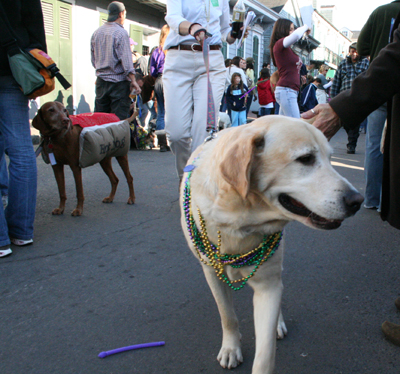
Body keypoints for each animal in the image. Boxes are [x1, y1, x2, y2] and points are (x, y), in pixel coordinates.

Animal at [180, 116, 364, 374]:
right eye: (306, 158)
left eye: (330, 158)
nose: (358, 201)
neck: (240, 220)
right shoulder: (211, 273)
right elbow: (227, 315)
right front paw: (231, 347)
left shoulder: (268, 285)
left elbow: (265, 354)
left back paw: (278, 322)